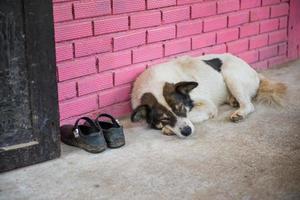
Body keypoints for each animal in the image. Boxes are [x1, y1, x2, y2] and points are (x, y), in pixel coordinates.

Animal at [131, 53, 286, 138]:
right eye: (164, 118)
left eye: (180, 107)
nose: (187, 131)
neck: (154, 81)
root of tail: (254, 71)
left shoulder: (207, 105)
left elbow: (191, 115)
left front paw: (168, 129)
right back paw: (233, 101)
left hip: (231, 75)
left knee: (249, 105)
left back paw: (240, 112)